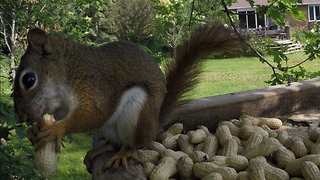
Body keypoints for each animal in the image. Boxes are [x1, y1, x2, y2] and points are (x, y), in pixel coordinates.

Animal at [13, 24, 238, 172]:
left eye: (29, 79)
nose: (21, 117)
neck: (68, 70)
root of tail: (154, 126)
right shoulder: (61, 107)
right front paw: (33, 131)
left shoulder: (95, 86)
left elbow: (95, 113)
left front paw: (56, 129)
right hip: (108, 129)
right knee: (114, 142)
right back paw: (98, 150)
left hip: (136, 113)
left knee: (131, 144)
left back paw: (123, 153)